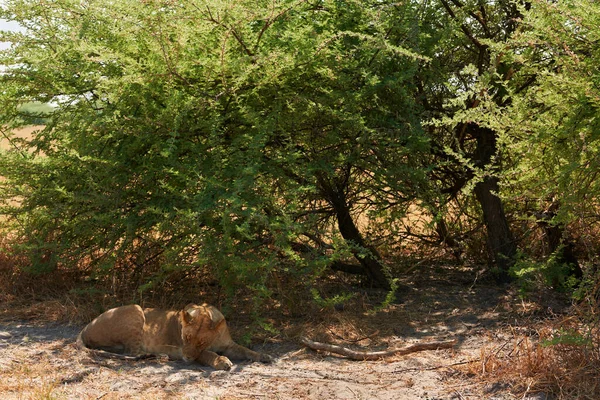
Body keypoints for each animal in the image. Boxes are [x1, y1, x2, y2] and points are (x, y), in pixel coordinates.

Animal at [76, 304, 274, 370]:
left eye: (201, 341)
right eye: (186, 337)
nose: (185, 357)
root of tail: (85, 327)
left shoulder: (229, 345)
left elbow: (245, 350)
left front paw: (264, 356)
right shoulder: (189, 349)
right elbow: (209, 354)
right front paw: (222, 361)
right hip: (135, 308)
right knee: (132, 352)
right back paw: (164, 355)